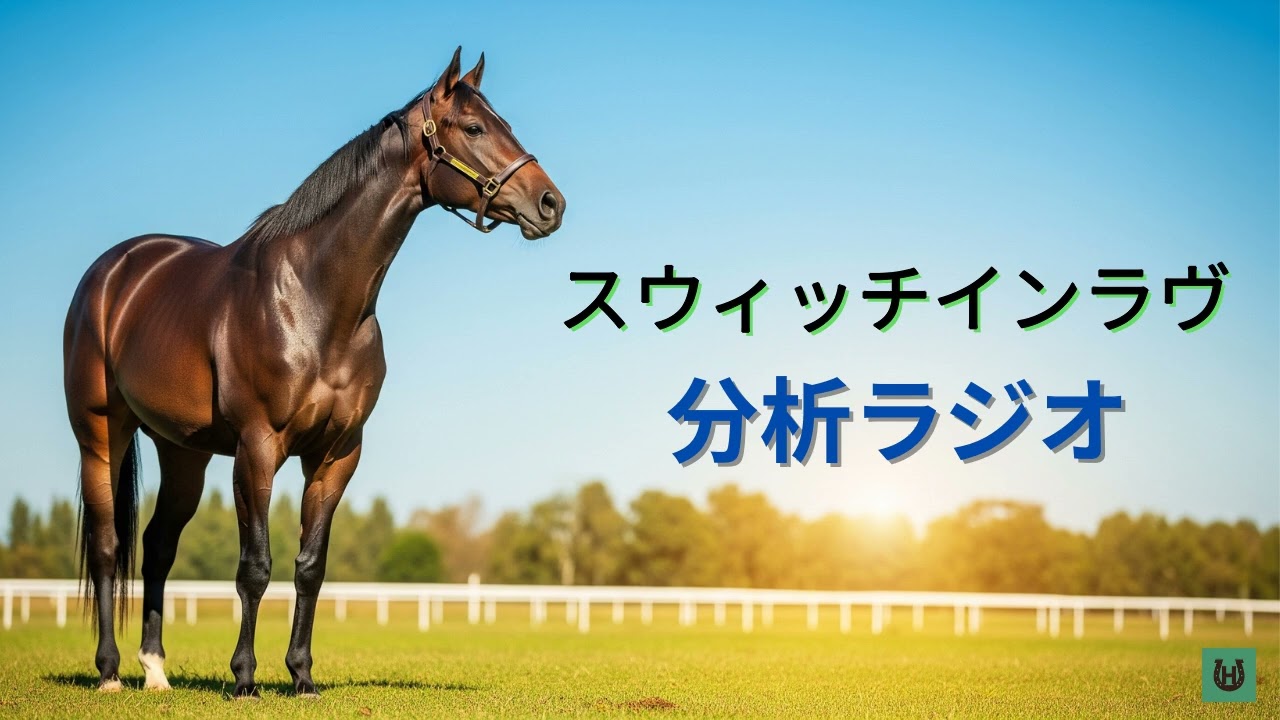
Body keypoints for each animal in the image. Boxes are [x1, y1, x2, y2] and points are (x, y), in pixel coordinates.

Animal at [62, 47, 564, 698]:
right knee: (107, 547)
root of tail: (113, 271)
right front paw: (245, 678)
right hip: (101, 434)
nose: (550, 203)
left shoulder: (336, 454)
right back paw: (109, 672)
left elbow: (310, 567)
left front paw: (301, 675)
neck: (315, 299)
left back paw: (155, 670)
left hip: (184, 453)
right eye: (475, 128)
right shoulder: (257, 449)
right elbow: (255, 568)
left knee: (157, 547)